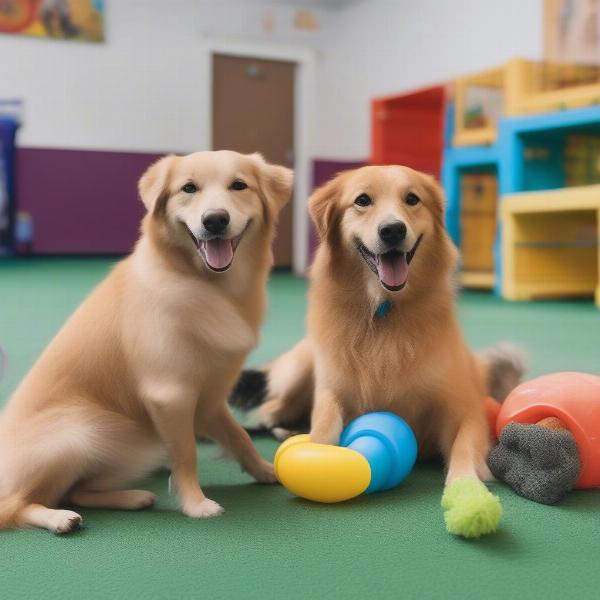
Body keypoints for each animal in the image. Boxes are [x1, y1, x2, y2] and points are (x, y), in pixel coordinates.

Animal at [0, 150, 292, 536]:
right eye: (189, 188)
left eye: (239, 185)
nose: (215, 220)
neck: (209, 287)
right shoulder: (171, 395)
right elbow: (186, 455)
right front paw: (196, 504)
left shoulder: (211, 396)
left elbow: (239, 437)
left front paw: (264, 470)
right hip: (81, 432)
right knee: (17, 505)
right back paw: (59, 518)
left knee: (77, 491)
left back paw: (133, 498)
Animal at [232, 165, 524, 540]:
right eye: (362, 201)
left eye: (412, 199)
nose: (393, 230)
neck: (384, 312)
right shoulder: (331, 391)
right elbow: (323, 431)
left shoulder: (465, 409)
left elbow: (462, 450)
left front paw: (468, 494)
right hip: (301, 367)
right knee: (272, 409)